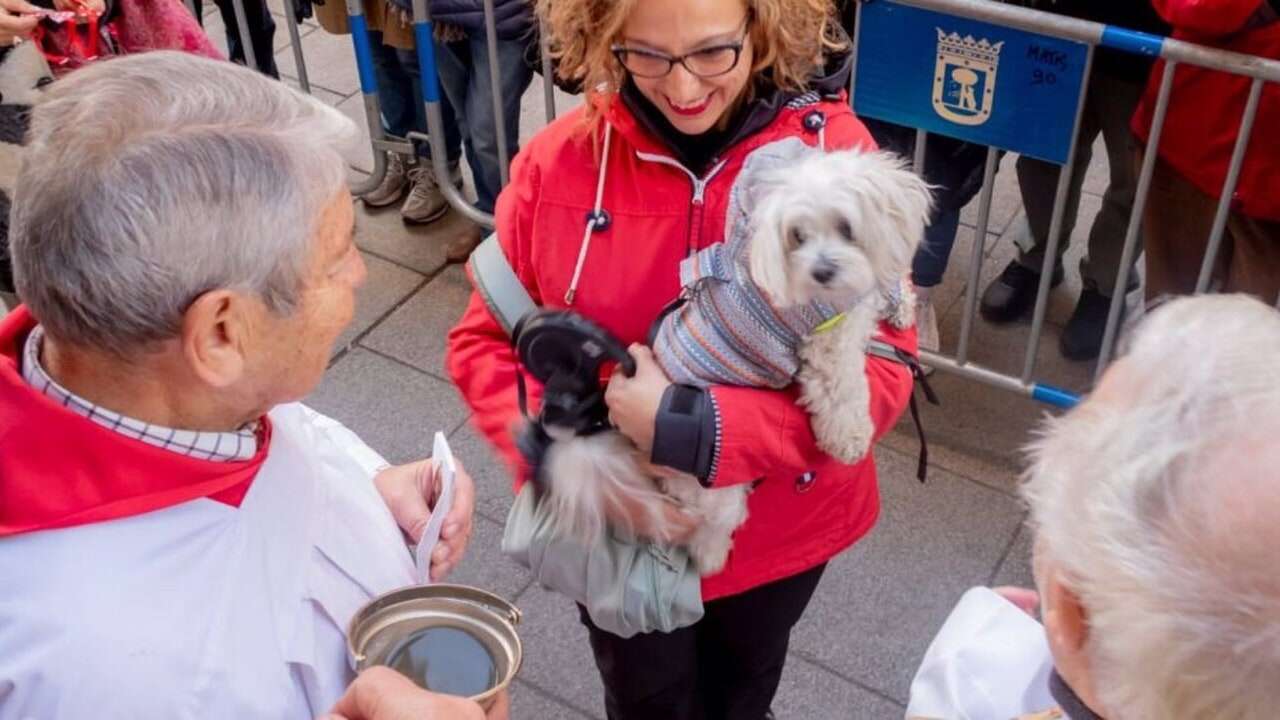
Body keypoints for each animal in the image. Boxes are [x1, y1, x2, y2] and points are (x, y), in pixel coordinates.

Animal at [537, 142, 931, 573]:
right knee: (705, 526)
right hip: (715, 490)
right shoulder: (826, 344)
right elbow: (841, 393)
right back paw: (710, 556)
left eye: (846, 226)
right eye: (797, 236)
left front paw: (901, 304)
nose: (822, 272)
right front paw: (851, 439)